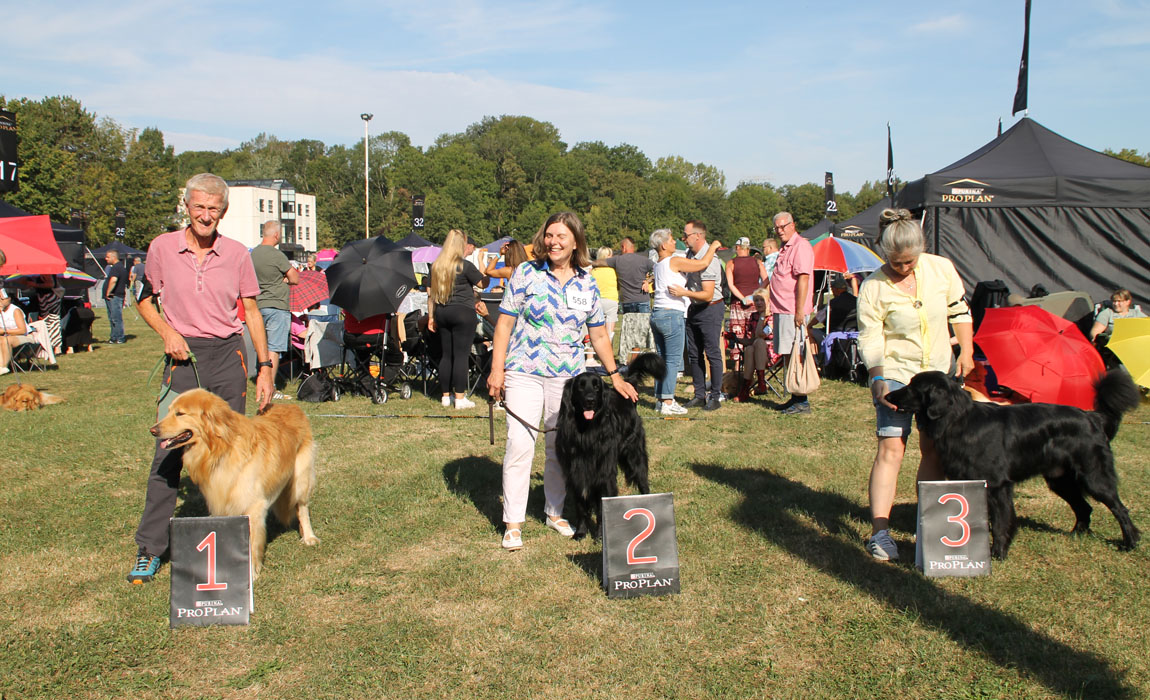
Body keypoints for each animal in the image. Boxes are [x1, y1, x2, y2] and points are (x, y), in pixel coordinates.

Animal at [150, 383, 319, 577]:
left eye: (180, 413)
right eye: (169, 410)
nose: (153, 430)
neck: (221, 448)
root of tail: (292, 406)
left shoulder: (253, 505)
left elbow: (251, 542)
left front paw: (251, 573)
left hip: (300, 479)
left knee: (302, 508)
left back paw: (309, 536)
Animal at [556, 351, 667, 537]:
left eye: (596, 387)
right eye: (580, 386)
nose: (590, 400)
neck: (586, 431)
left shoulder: (605, 473)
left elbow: (602, 507)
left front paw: (601, 536)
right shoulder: (576, 472)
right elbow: (581, 507)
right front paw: (580, 532)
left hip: (635, 456)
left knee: (643, 482)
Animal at [883, 367, 1136, 558]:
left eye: (913, 386)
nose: (886, 397)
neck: (960, 420)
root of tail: (1093, 417)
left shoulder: (997, 485)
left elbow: (1001, 521)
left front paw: (998, 552)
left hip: (1094, 476)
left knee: (1119, 508)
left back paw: (1130, 542)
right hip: (1060, 480)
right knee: (1085, 507)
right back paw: (1076, 535)